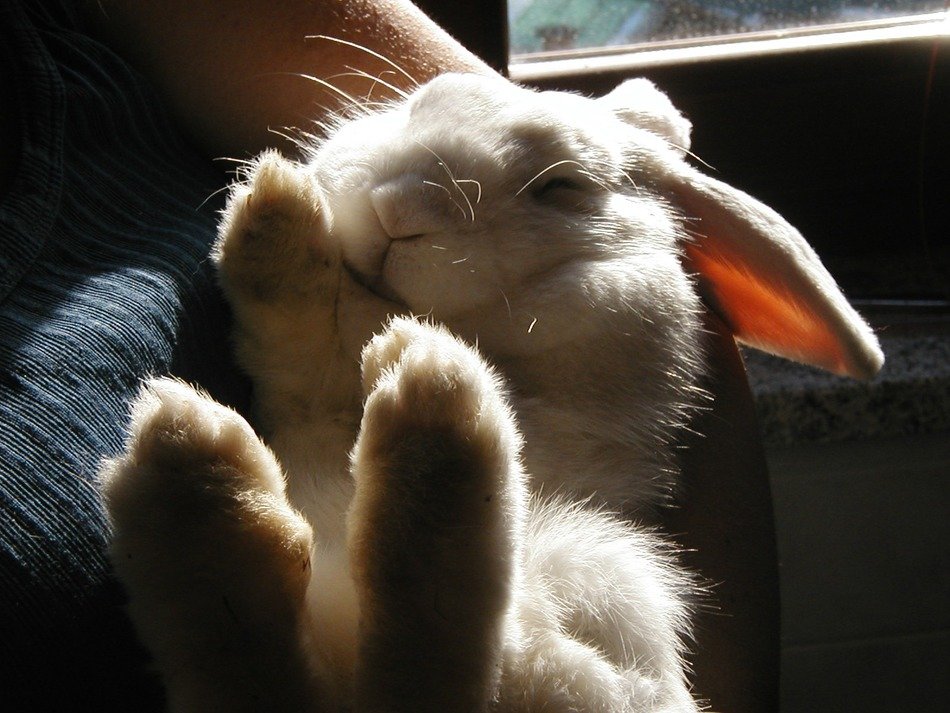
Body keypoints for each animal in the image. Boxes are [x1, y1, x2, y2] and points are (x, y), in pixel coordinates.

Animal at [100, 72, 883, 712]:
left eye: (563, 189)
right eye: (424, 98)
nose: (400, 209)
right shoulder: (301, 385)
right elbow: (295, 335)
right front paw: (275, 220)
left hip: (605, 588)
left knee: (443, 658)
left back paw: (432, 415)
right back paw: (200, 488)